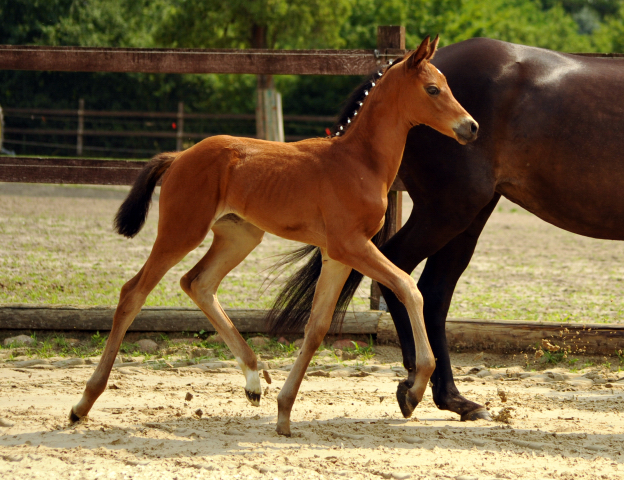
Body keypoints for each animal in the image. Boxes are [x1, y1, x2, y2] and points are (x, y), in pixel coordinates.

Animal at [68, 37, 478, 436]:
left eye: (448, 85)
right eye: (433, 89)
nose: (471, 126)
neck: (360, 161)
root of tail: (179, 156)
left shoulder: (337, 255)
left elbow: (317, 328)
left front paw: (284, 412)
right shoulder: (351, 245)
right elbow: (409, 287)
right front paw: (415, 389)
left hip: (239, 236)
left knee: (197, 283)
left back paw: (253, 379)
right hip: (181, 230)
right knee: (133, 293)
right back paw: (83, 404)